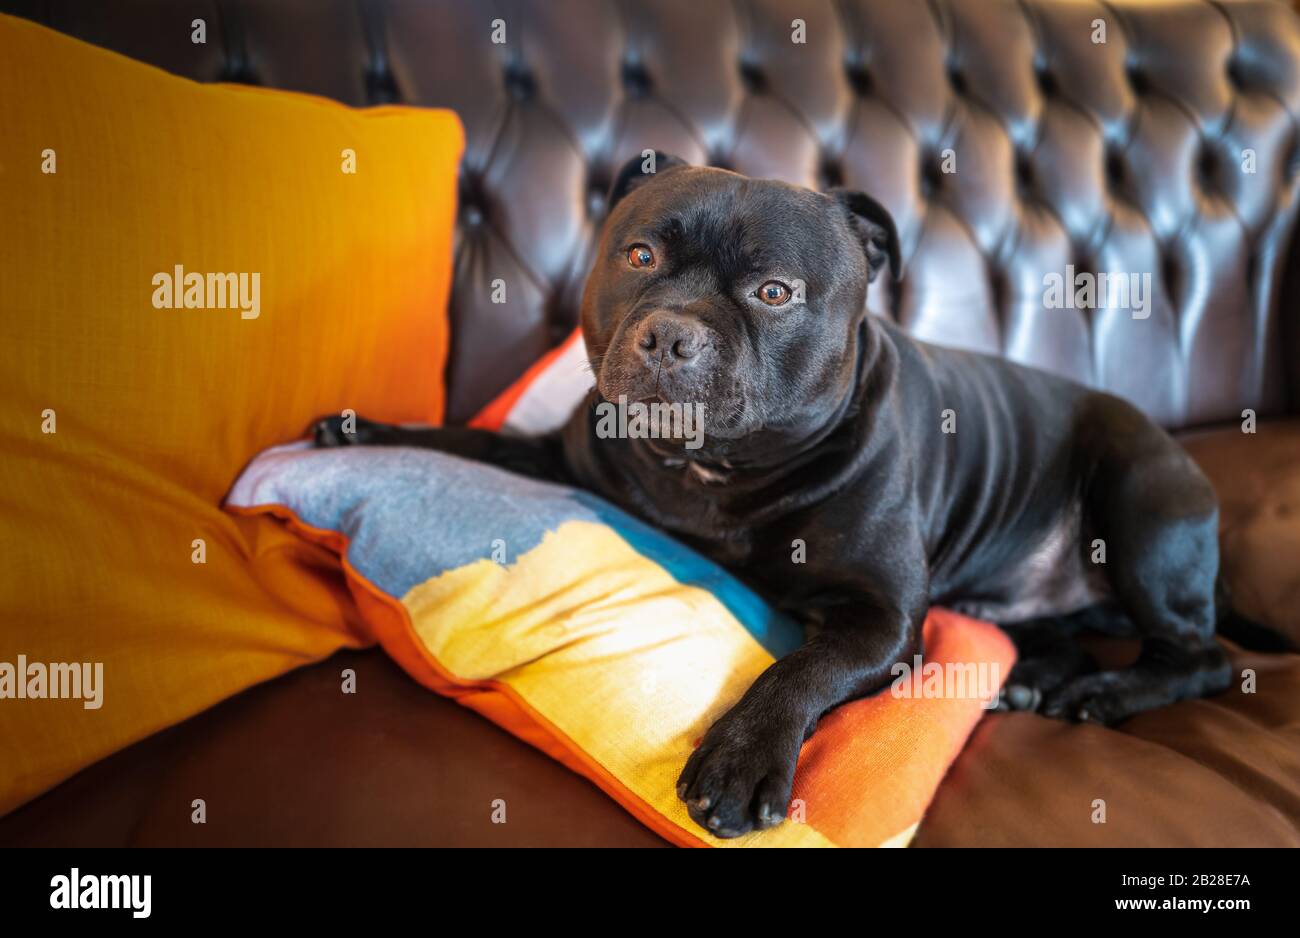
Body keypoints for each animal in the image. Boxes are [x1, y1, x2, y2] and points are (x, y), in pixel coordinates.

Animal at [314, 151, 1237, 831]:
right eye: (640, 256)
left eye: (774, 293)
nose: (670, 334)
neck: (714, 469)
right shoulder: (562, 458)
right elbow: (466, 440)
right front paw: (363, 433)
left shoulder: (880, 619)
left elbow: (800, 668)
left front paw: (740, 760)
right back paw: (1037, 680)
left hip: (1140, 506)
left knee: (1204, 658)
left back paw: (1104, 692)